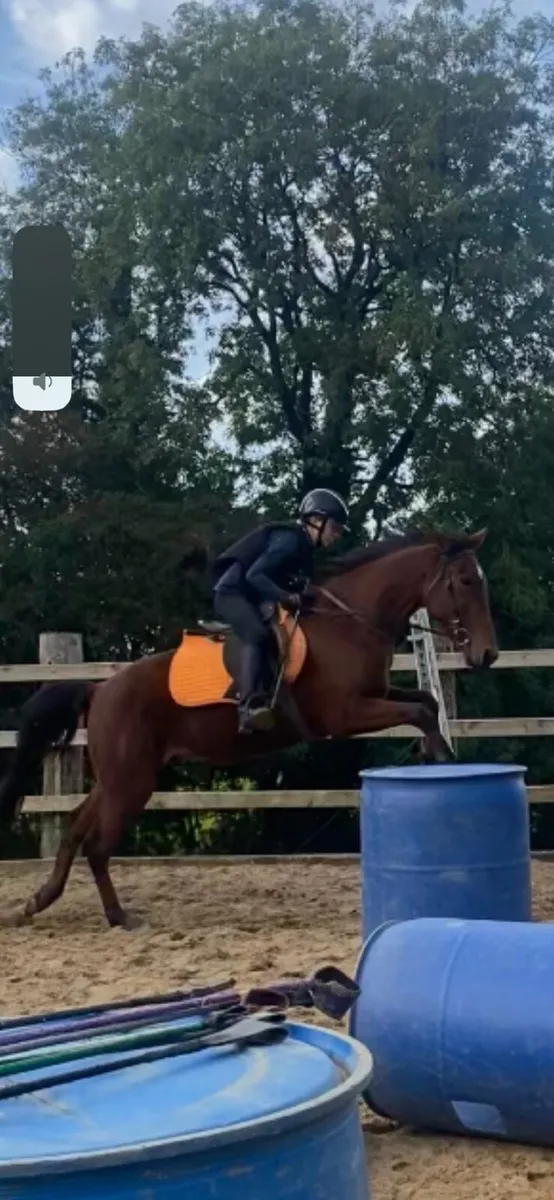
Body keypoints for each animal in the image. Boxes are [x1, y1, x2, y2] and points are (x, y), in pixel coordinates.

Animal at [0, 527, 497, 928]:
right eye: (465, 582)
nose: (487, 655)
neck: (351, 622)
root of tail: (99, 689)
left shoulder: (376, 695)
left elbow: (427, 703)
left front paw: (434, 754)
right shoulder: (345, 714)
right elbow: (419, 713)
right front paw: (440, 759)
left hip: (118, 778)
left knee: (75, 827)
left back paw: (43, 901)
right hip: (130, 781)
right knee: (97, 843)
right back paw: (115, 915)